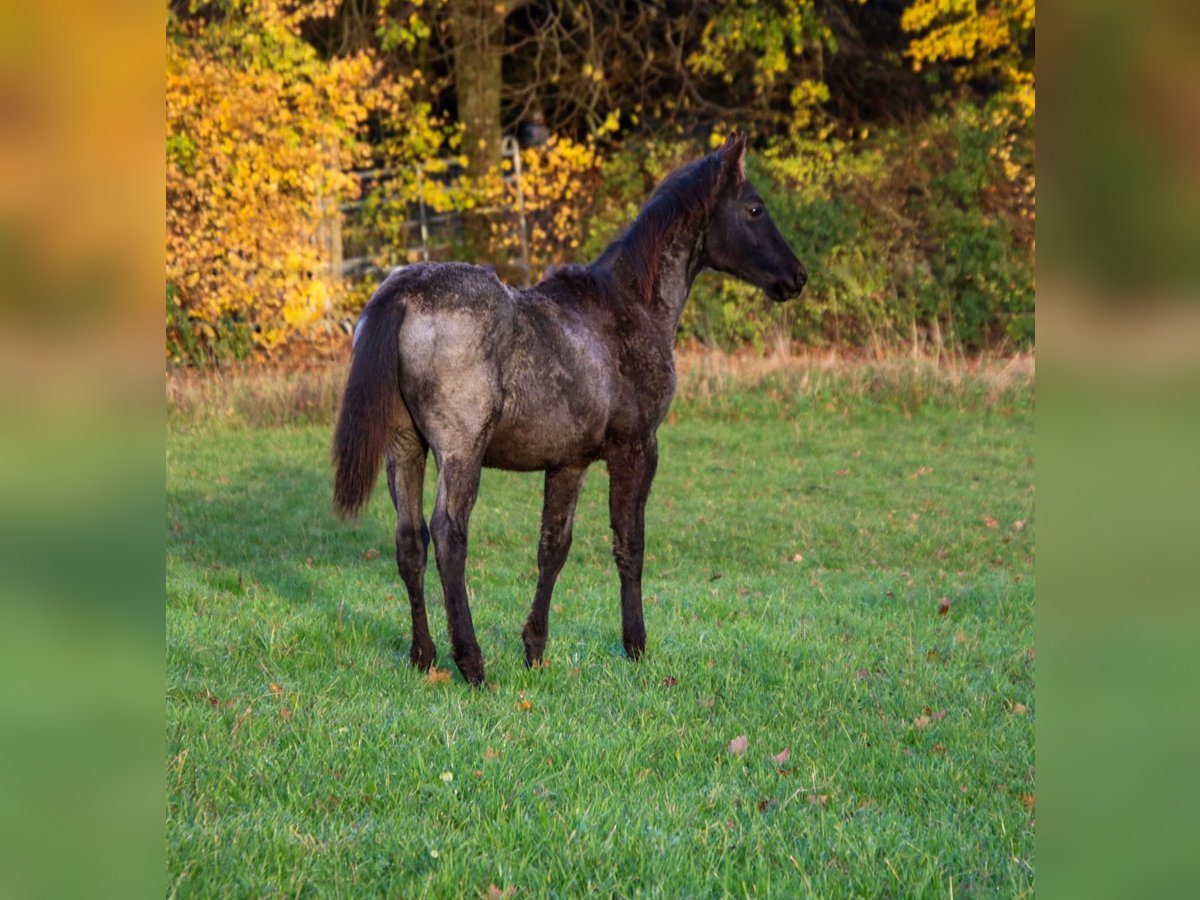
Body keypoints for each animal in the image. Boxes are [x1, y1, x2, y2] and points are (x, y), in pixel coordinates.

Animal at [332, 132, 807, 685]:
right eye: (755, 208)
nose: (796, 276)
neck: (628, 306)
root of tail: (403, 292)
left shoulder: (568, 462)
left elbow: (552, 549)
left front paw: (535, 649)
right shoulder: (637, 448)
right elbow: (630, 544)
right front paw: (636, 645)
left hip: (405, 448)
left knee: (410, 542)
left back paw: (423, 656)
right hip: (460, 451)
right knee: (449, 536)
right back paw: (471, 662)